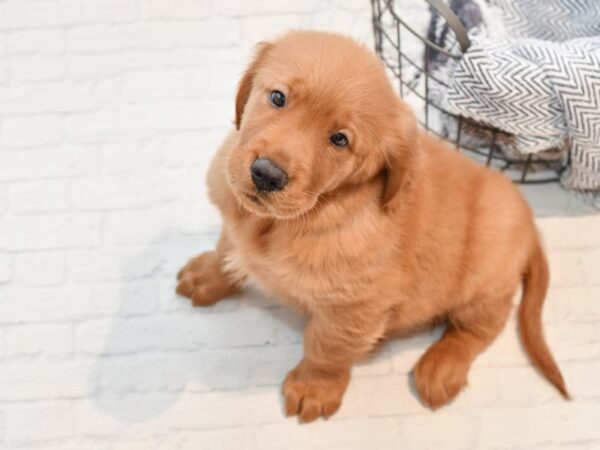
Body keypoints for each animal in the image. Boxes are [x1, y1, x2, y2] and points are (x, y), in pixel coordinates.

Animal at [176, 30, 568, 422]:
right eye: (277, 98)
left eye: (339, 139)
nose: (266, 174)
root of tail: (531, 223)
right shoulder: (235, 217)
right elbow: (226, 248)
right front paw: (206, 276)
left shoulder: (353, 306)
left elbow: (325, 347)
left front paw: (313, 387)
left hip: (485, 273)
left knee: (483, 325)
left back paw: (442, 366)